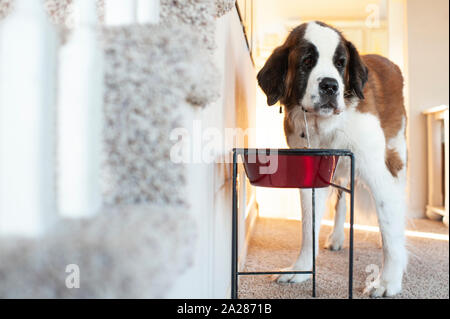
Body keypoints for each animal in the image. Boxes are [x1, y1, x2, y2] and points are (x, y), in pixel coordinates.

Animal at [256, 21, 408, 298]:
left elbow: (389, 226)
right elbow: (309, 226)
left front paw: (388, 282)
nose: (330, 86)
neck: (326, 125)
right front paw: (301, 269)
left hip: (396, 157)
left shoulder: (377, 172)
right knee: (342, 202)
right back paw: (337, 238)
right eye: (307, 61)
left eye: (340, 63)